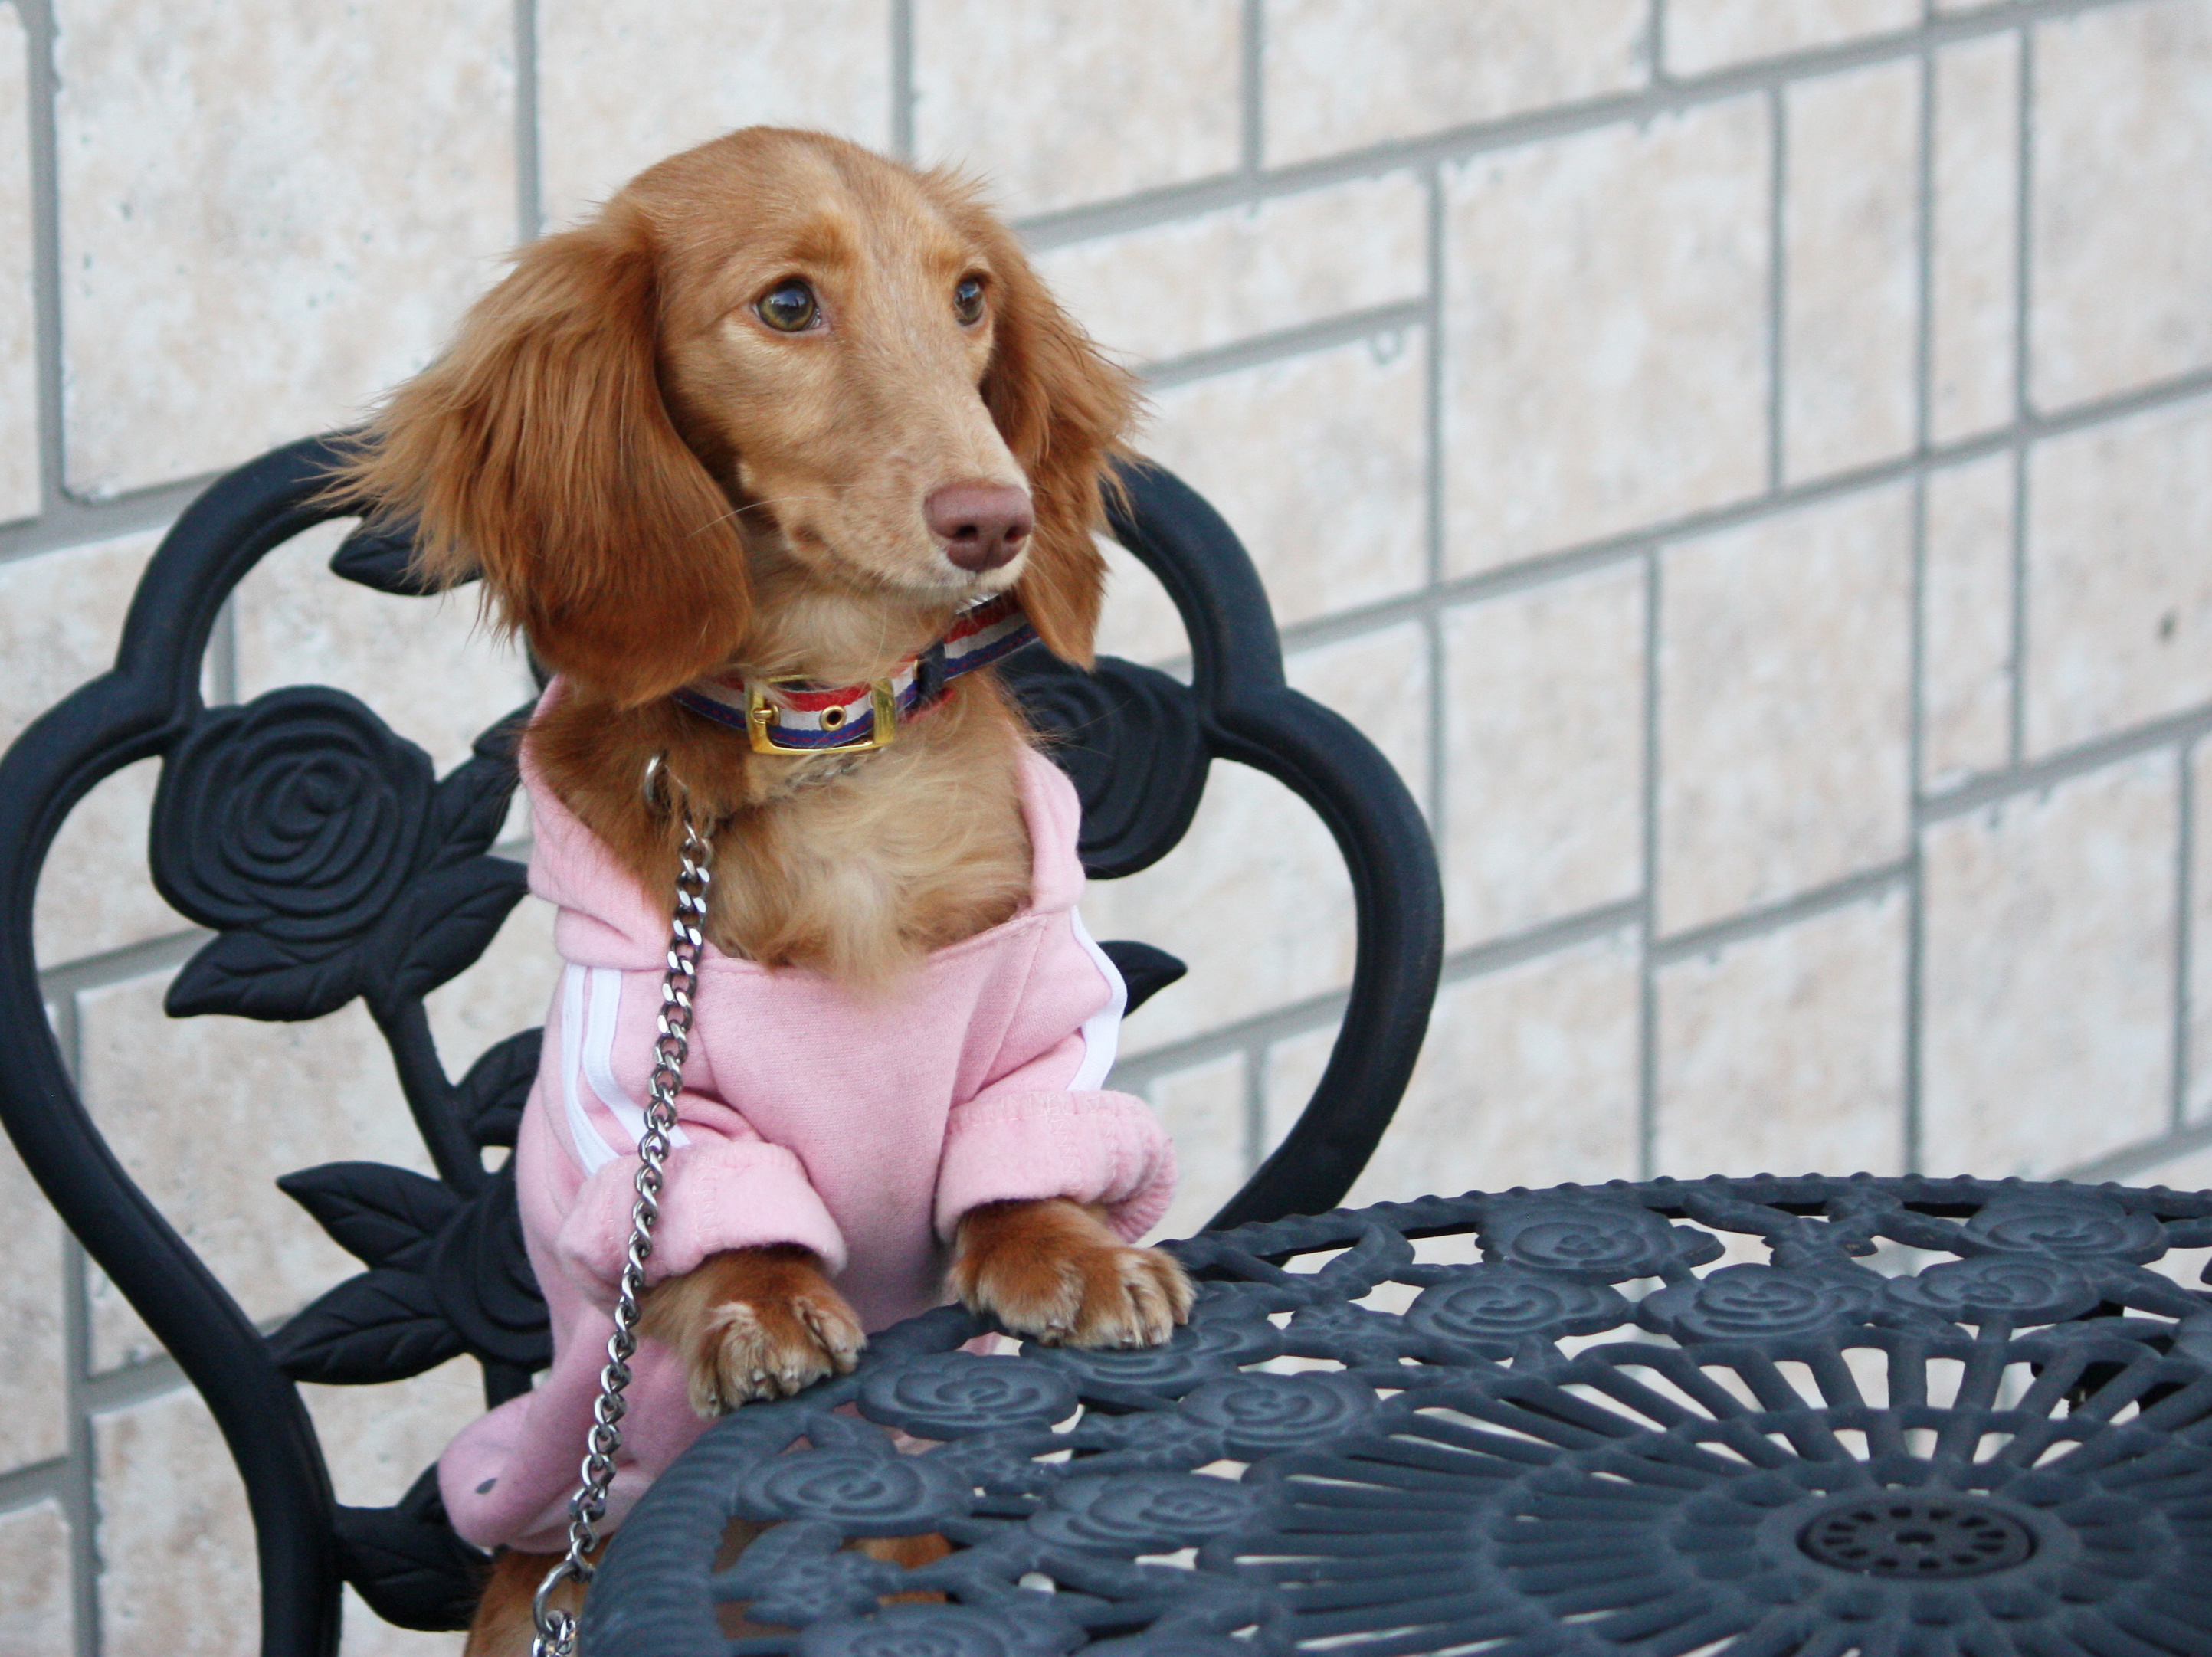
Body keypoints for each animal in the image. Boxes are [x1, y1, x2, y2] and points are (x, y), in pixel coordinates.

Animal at [331, 127, 1195, 1650]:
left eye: (968, 296)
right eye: (787, 305)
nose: (998, 518)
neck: (828, 735)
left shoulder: (1042, 1015)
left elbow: (1031, 1152)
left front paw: (1073, 1252)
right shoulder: (642, 1082)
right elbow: (713, 1216)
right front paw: (763, 1300)